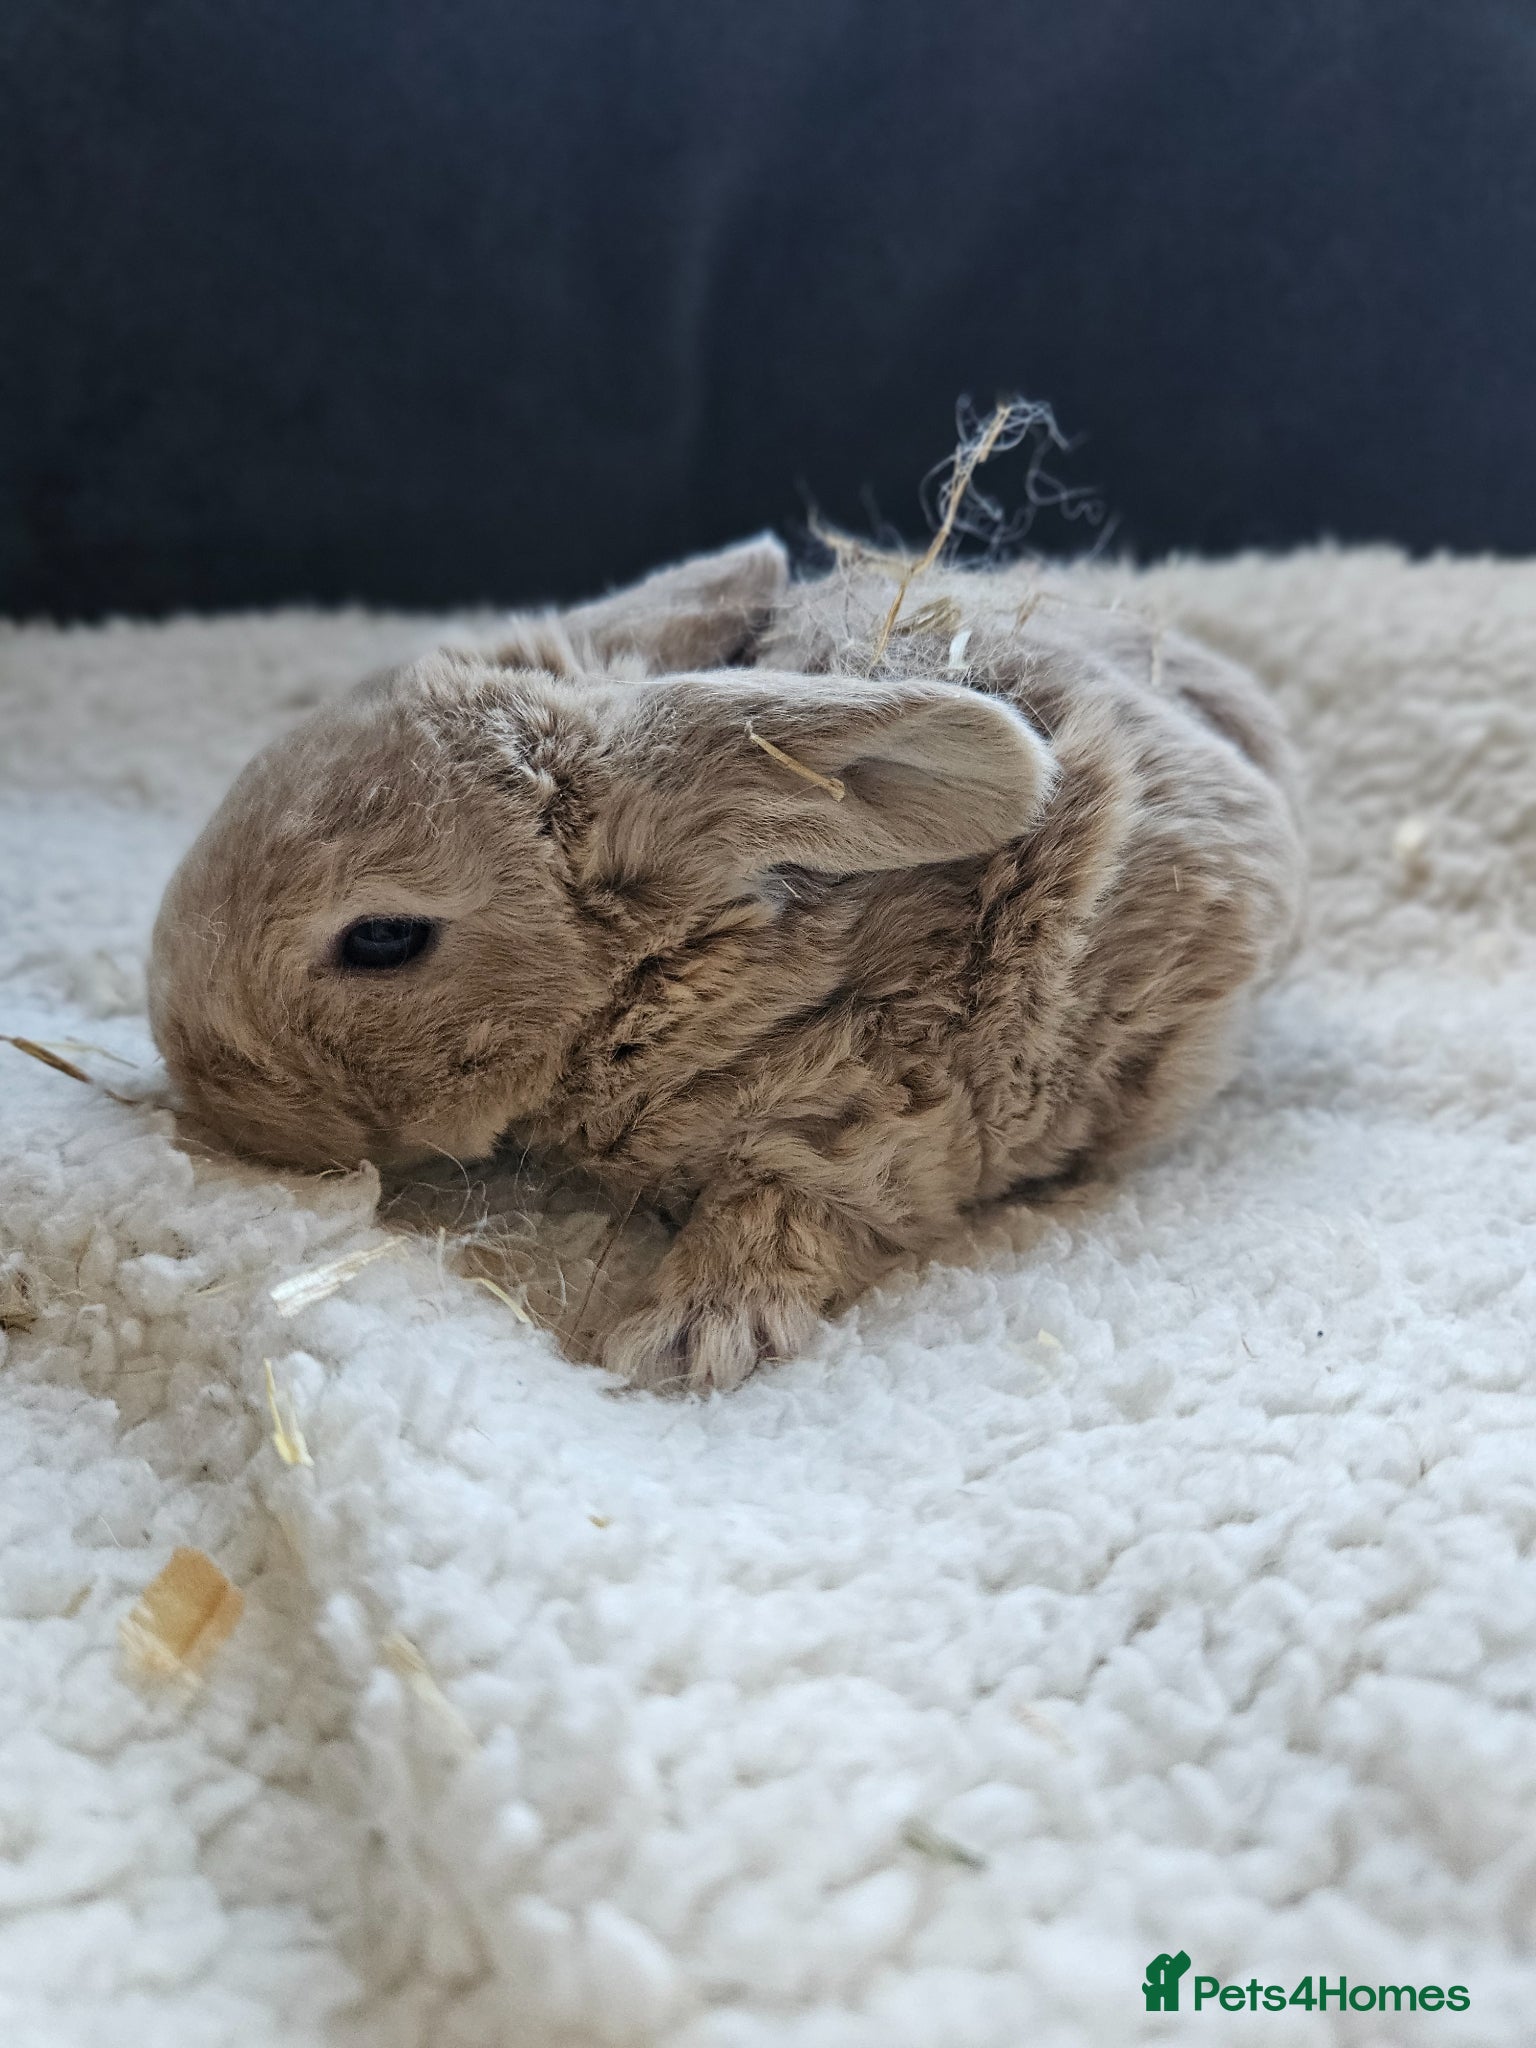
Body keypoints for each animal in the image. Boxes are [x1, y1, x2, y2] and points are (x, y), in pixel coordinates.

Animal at [149, 534, 1304, 1391]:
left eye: (383, 938)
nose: (208, 1089)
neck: (676, 970)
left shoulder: (865, 1123)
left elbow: (780, 1211)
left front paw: (682, 1343)